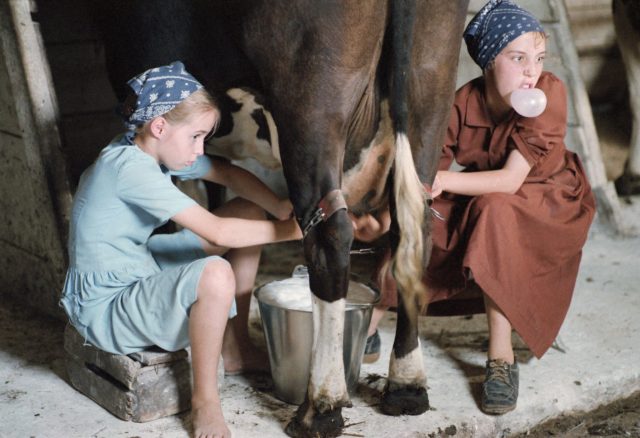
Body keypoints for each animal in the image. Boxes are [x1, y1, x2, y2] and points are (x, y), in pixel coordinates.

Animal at [90, 1, 470, 436]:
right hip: (430, 85)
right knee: (415, 227)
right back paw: (407, 386)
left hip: (309, 103)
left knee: (329, 234)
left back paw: (320, 408)